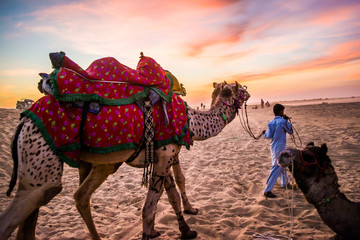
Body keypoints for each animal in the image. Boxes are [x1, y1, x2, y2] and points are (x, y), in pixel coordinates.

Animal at [0, 81, 248, 239]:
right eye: (241, 88)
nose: (249, 92)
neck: (192, 121)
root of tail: (23, 121)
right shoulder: (166, 153)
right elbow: (151, 205)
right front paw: (154, 231)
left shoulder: (164, 154)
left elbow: (172, 195)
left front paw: (184, 229)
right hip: (41, 167)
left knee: (71, 200)